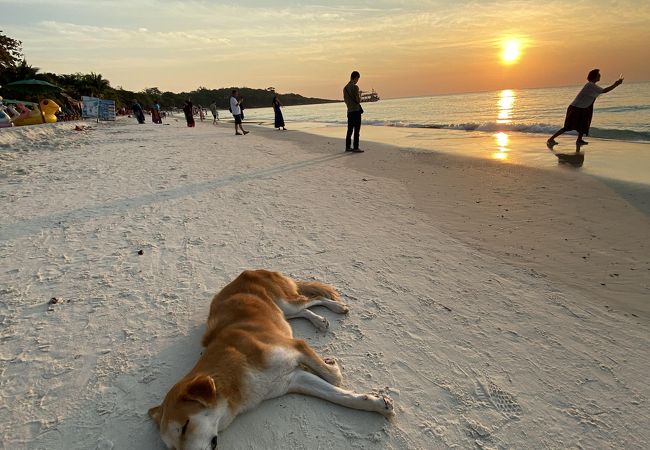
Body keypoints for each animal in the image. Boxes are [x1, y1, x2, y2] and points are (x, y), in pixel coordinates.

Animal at [149, 270, 392, 450]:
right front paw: (376, 404)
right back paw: (318, 320)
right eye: (172, 448)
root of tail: (248, 271)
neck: (232, 377)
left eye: (185, 426)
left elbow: (333, 379)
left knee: (312, 299)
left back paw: (335, 307)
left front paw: (333, 368)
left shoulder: (297, 348)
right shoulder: (295, 380)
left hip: (285, 303)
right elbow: (342, 397)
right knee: (302, 311)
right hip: (281, 311)